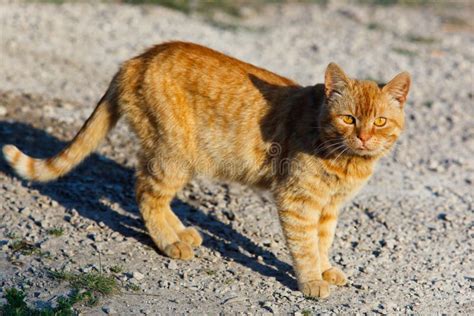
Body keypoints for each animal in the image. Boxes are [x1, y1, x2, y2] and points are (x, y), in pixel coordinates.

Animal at [1, 40, 410, 298]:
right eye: (349, 119)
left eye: (380, 122)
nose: (363, 138)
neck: (347, 161)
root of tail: (138, 59)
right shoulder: (298, 201)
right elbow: (305, 246)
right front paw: (312, 280)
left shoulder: (329, 208)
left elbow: (322, 241)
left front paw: (326, 269)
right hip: (174, 155)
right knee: (145, 192)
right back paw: (170, 243)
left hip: (178, 160)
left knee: (155, 196)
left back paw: (182, 233)